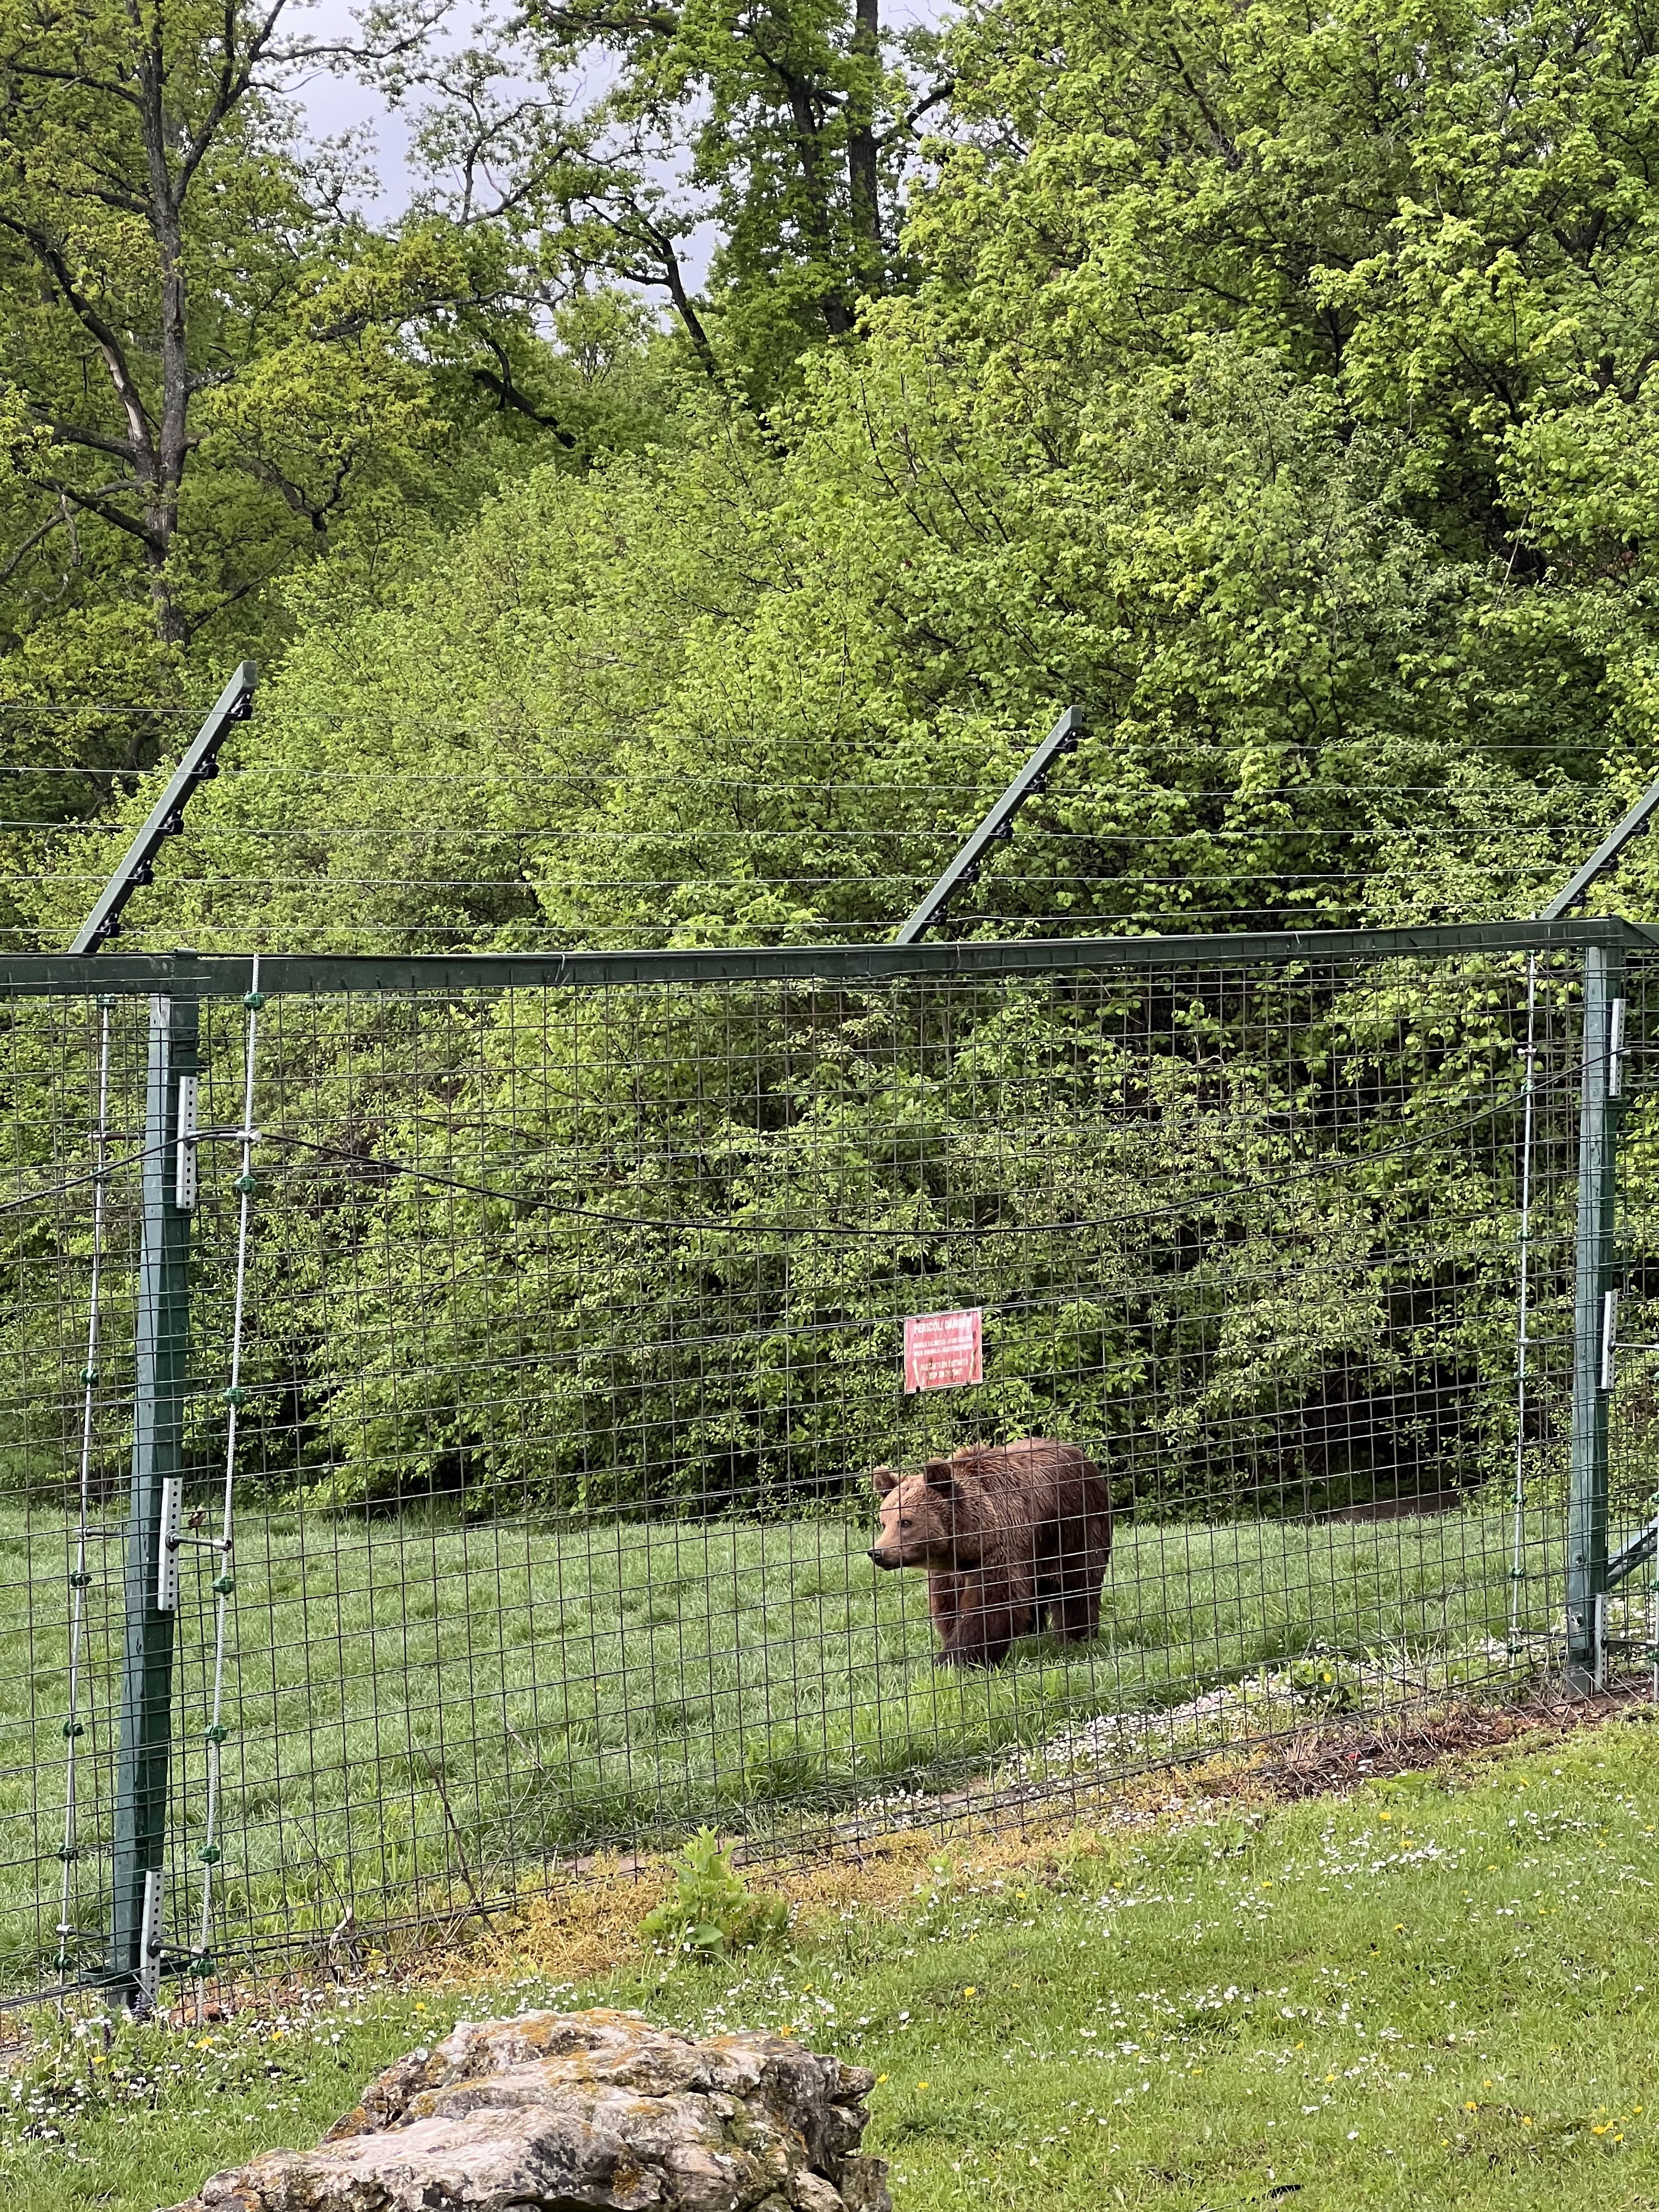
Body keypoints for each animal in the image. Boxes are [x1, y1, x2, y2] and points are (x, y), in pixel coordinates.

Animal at [867, 1438, 1113, 1667]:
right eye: (884, 1522)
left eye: (905, 1522)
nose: (877, 1553)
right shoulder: (950, 1572)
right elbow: (948, 1606)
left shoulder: (1001, 1548)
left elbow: (990, 1605)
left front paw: (952, 1660)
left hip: (1074, 1528)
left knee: (1077, 1585)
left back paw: (1076, 1636)